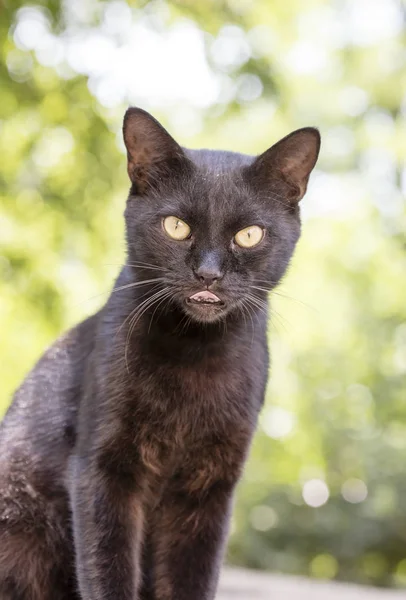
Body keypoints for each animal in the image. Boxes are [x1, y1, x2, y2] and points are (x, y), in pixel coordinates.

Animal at [0, 109, 320, 600]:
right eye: (176, 226)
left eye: (249, 235)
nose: (208, 273)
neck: (195, 355)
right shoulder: (102, 472)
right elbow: (108, 572)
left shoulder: (209, 489)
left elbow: (192, 579)